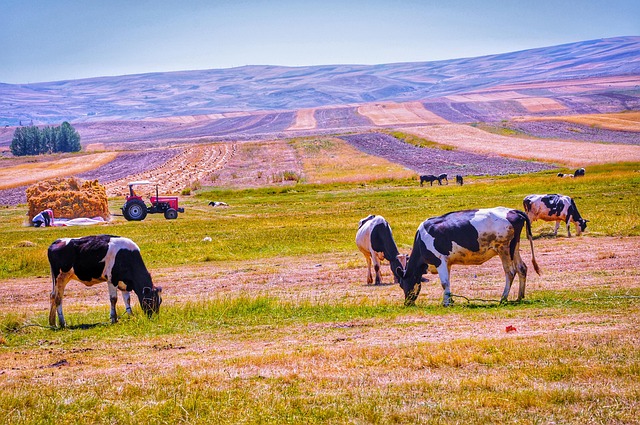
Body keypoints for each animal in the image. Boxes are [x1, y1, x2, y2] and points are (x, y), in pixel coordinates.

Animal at [396, 207, 540, 306]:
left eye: (403, 284)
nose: (407, 303)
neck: (421, 239)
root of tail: (513, 211)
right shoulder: (447, 263)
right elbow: (448, 282)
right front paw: (450, 300)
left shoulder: (440, 261)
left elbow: (444, 283)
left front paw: (446, 303)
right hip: (514, 248)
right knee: (522, 268)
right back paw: (519, 297)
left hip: (503, 248)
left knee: (510, 272)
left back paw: (503, 298)